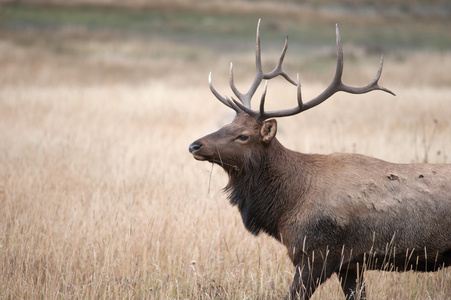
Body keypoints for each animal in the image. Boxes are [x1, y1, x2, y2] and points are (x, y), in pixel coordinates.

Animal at [188, 19, 451, 298]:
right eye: (227, 124)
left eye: (243, 136)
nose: (195, 145)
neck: (286, 206)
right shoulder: (351, 263)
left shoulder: (319, 252)